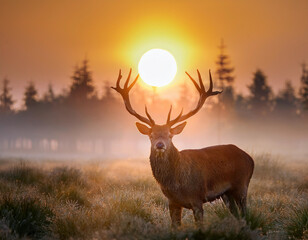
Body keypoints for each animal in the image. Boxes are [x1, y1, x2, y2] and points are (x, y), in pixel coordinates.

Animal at [112, 68, 254, 228]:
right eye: (151, 135)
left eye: (170, 135)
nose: (160, 145)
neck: (176, 184)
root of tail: (250, 159)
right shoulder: (172, 201)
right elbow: (175, 226)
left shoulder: (197, 197)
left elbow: (200, 226)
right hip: (226, 194)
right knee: (237, 214)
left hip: (242, 185)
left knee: (245, 213)